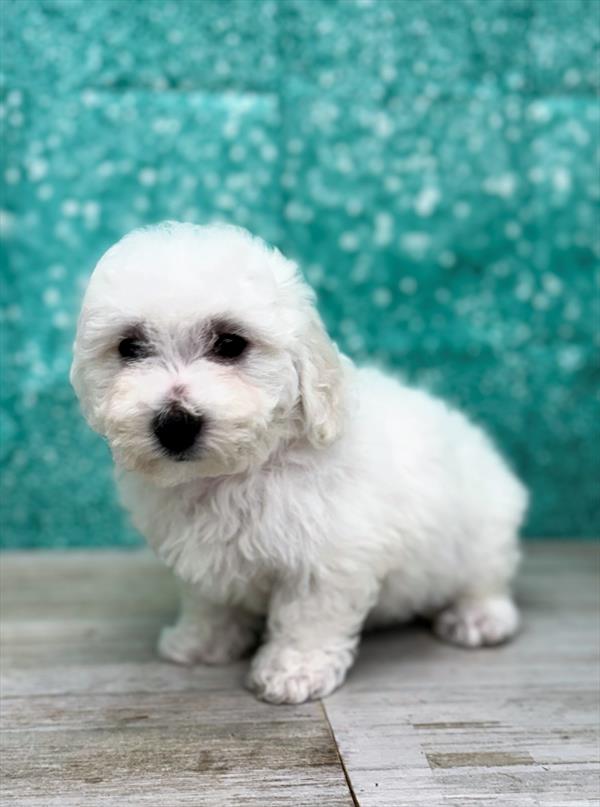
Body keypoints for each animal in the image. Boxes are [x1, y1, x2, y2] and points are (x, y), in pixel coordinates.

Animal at [72, 224, 528, 704]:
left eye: (230, 343)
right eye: (130, 347)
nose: (175, 424)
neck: (232, 474)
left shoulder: (329, 555)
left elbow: (308, 617)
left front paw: (293, 671)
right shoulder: (200, 557)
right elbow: (210, 601)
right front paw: (201, 641)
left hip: (481, 534)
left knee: (487, 578)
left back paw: (478, 617)